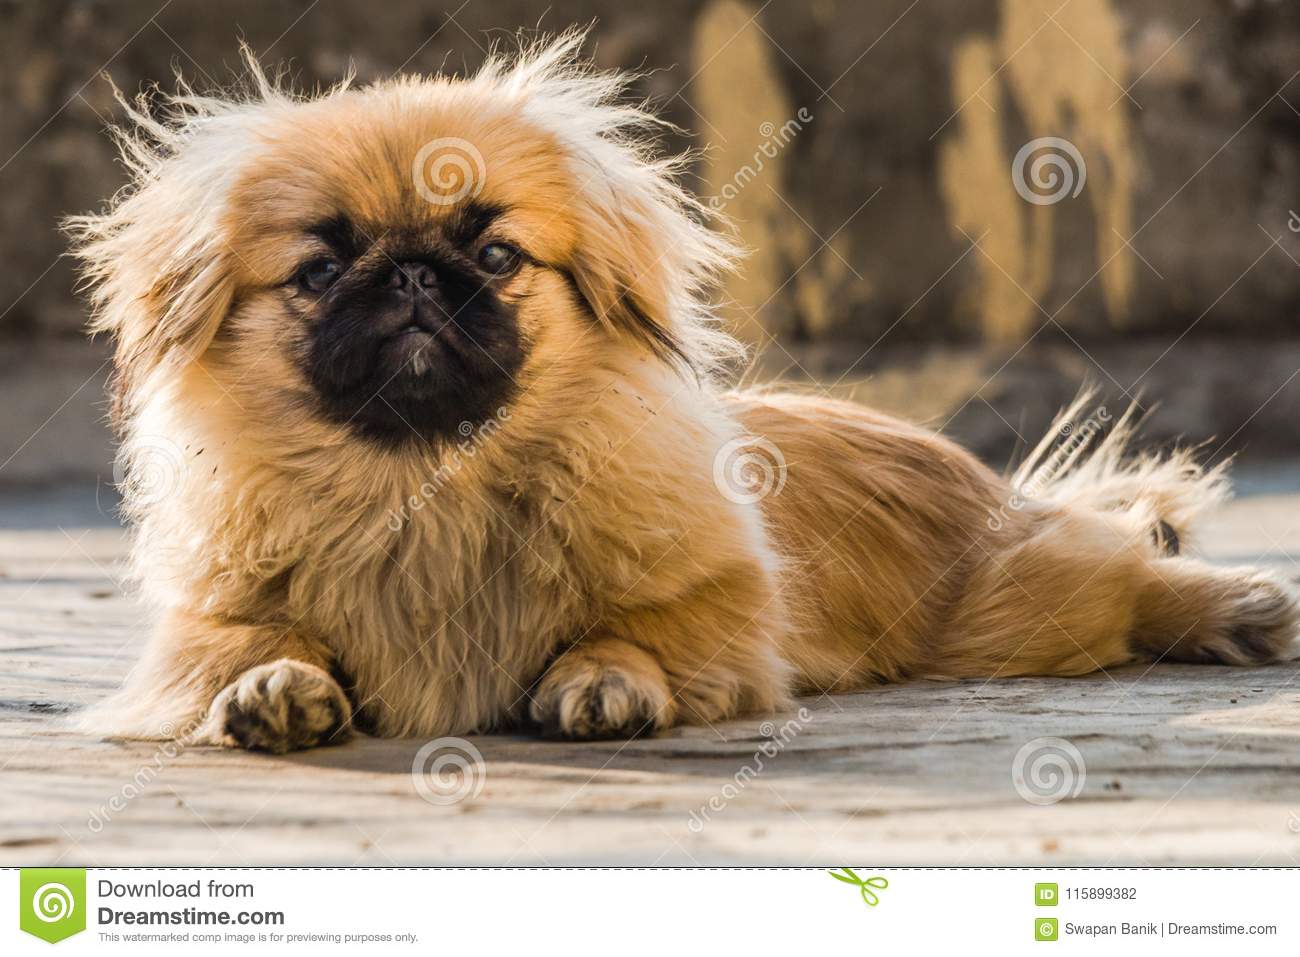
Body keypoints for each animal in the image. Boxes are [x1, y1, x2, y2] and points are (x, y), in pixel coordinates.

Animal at [63, 35, 1300, 754]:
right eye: (321, 272)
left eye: (496, 255)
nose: (412, 276)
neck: (431, 487)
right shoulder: (203, 622)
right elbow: (244, 648)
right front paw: (274, 686)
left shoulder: (726, 606)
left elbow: (637, 631)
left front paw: (605, 678)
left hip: (1013, 609)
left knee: (1121, 568)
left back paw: (1237, 610)